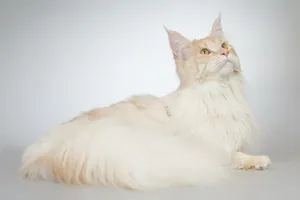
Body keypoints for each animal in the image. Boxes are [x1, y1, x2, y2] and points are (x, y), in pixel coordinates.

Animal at [19, 13, 270, 191]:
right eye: (206, 52)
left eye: (225, 46)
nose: (225, 54)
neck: (221, 93)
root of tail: (38, 153)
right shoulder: (211, 146)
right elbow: (234, 155)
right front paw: (257, 160)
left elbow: (239, 151)